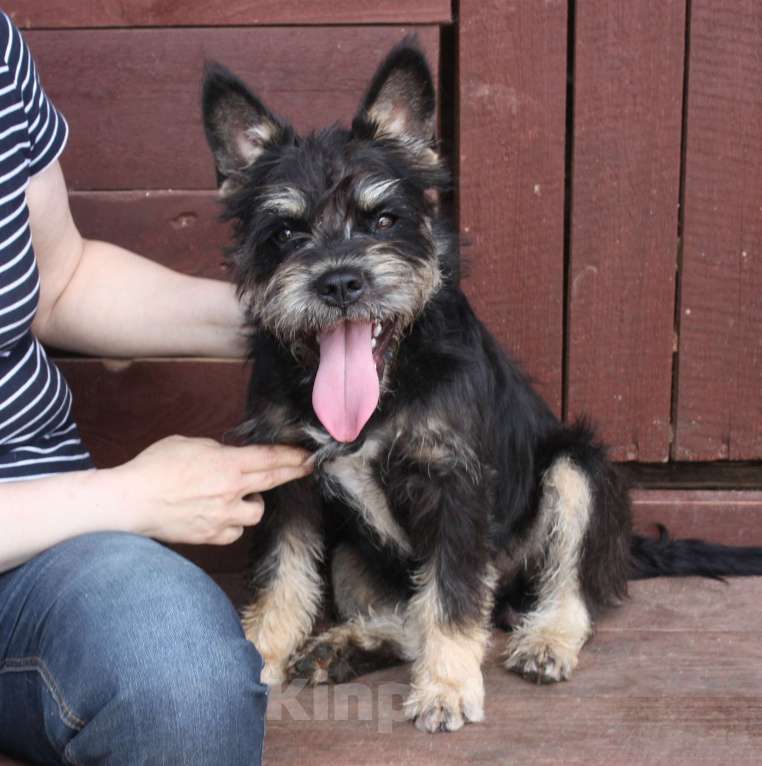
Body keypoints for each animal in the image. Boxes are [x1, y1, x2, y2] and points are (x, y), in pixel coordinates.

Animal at [200, 42, 760, 736]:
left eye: (383, 218)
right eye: (284, 232)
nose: (339, 282)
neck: (389, 388)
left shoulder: (455, 489)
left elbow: (451, 596)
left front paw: (445, 689)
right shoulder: (291, 486)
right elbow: (282, 577)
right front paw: (257, 652)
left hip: (579, 466)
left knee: (564, 590)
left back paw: (545, 639)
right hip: (356, 549)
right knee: (405, 616)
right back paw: (347, 645)